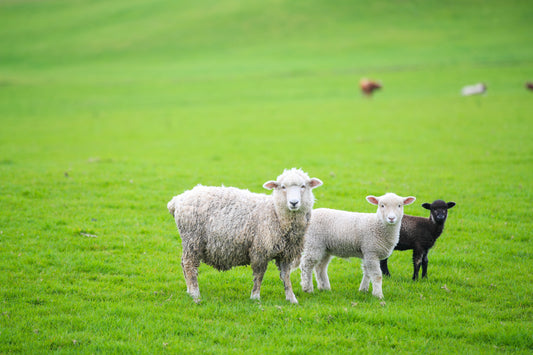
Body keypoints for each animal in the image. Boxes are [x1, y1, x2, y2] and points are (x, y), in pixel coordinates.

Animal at [168, 168, 322, 304]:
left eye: (303, 186)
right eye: (283, 187)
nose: (294, 202)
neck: (276, 213)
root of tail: (177, 200)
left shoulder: (286, 254)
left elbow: (286, 276)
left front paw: (291, 298)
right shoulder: (260, 249)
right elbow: (259, 275)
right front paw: (255, 297)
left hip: (190, 241)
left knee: (183, 264)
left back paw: (189, 291)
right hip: (192, 239)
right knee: (189, 265)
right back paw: (195, 294)